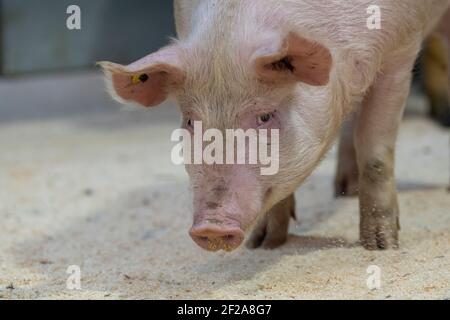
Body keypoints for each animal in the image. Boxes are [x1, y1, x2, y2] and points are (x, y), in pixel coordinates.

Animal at [100, 0, 450, 252]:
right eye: (190, 121)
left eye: (266, 116)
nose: (211, 227)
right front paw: (265, 245)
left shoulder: (401, 49)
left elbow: (376, 153)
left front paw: (381, 247)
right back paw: (344, 191)